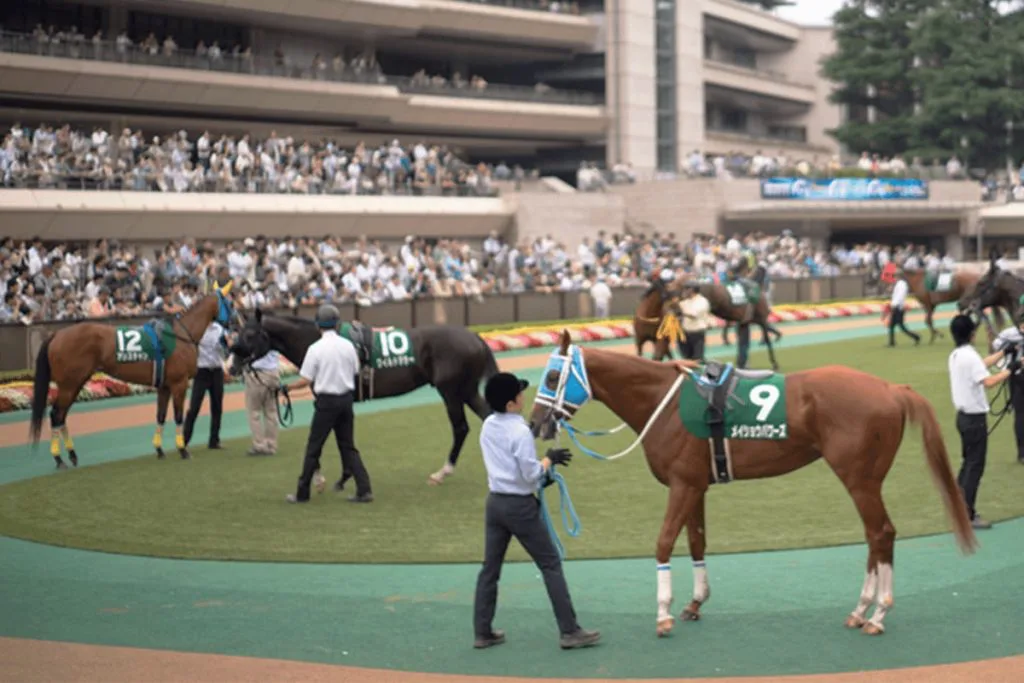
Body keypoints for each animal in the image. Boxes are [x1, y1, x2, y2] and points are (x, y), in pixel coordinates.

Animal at [29, 284, 238, 468]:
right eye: (230, 303)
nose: (236, 323)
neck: (181, 334)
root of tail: (57, 334)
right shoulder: (179, 383)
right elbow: (178, 416)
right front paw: (182, 450)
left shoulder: (164, 386)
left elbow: (161, 416)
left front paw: (159, 449)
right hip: (69, 384)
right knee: (56, 415)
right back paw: (59, 459)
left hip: (75, 383)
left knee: (61, 416)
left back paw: (72, 455)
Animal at [228, 309, 499, 484]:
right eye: (237, 332)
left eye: (250, 334)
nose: (231, 366)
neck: (318, 340)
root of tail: (476, 337)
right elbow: (339, 435)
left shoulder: (328, 397)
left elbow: (325, 435)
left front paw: (318, 476)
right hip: (467, 390)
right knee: (487, 418)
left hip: (451, 391)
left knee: (461, 428)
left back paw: (443, 472)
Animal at [529, 330, 976, 638]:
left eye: (551, 375)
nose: (535, 424)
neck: (664, 403)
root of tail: (890, 388)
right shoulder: (696, 485)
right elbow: (697, 541)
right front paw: (694, 603)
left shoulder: (682, 485)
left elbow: (664, 542)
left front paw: (663, 613)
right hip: (865, 480)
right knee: (874, 536)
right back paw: (861, 610)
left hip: (859, 479)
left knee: (881, 533)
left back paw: (878, 614)